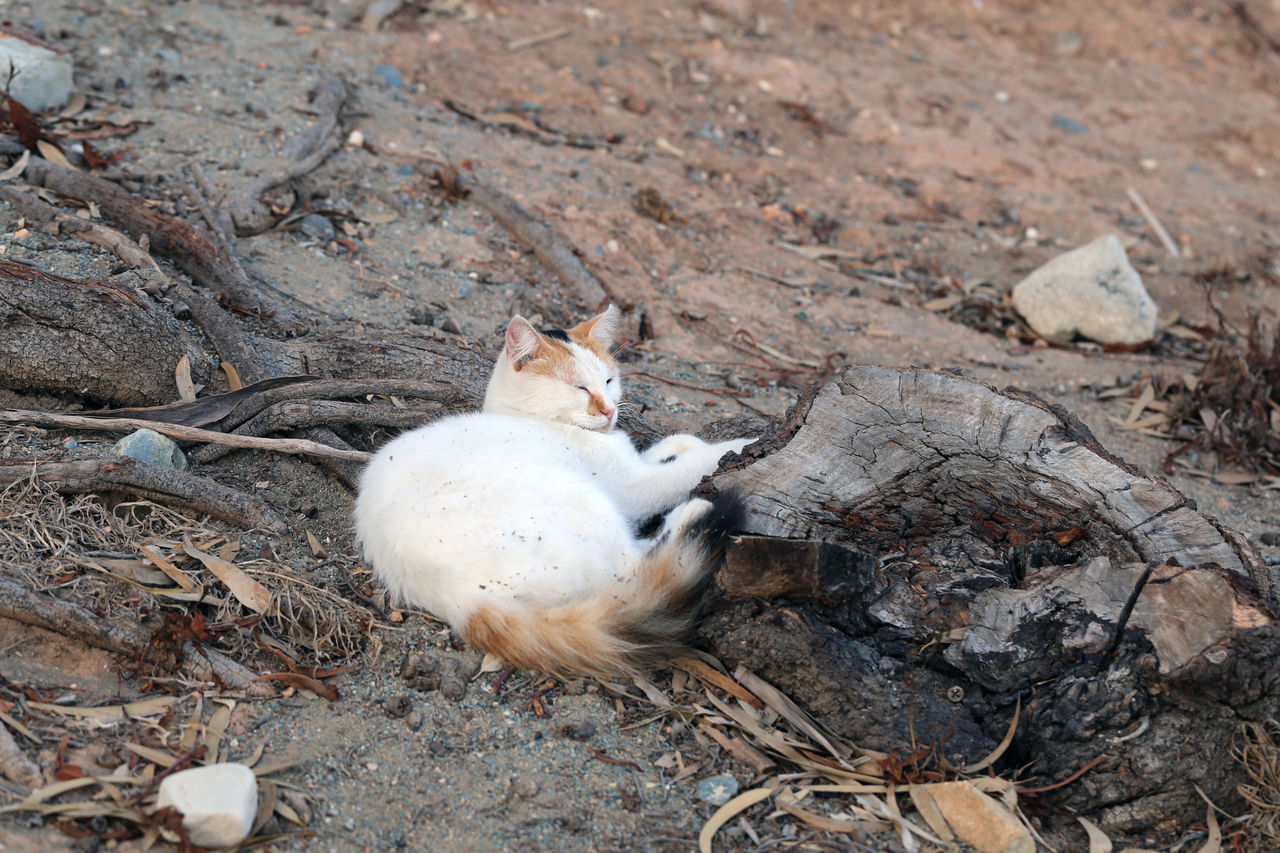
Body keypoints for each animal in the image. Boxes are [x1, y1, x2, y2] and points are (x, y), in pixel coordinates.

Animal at [350, 307, 752, 676]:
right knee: (640, 567)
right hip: (585, 501)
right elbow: (686, 468)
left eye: (609, 380)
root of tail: (462, 602)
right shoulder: (632, 489)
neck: (532, 419)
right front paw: (743, 445)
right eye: (580, 388)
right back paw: (696, 512)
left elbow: (668, 448)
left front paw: (685, 443)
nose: (610, 410)